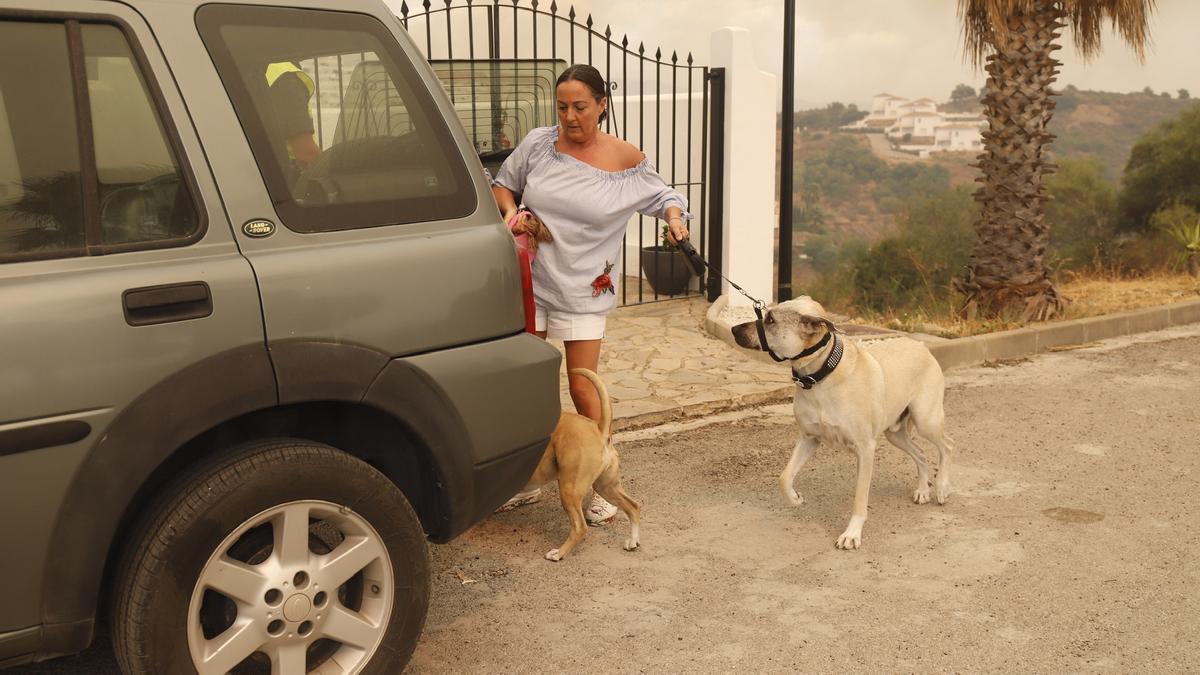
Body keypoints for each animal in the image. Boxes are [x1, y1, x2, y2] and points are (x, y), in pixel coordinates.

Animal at [520, 367, 643, 557]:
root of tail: (599, 429)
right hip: (606, 486)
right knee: (633, 506)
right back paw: (632, 541)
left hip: (569, 490)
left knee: (579, 527)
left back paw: (559, 553)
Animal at [729, 296, 955, 550]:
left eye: (770, 320)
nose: (734, 329)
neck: (821, 375)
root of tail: (921, 346)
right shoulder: (808, 439)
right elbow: (784, 478)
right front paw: (795, 498)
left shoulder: (865, 449)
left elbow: (859, 498)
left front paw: (852, 534)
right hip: (895, 434)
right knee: (921, 454)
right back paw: (923, 490)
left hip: (926, 419)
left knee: (947, 446)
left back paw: (942, 487)